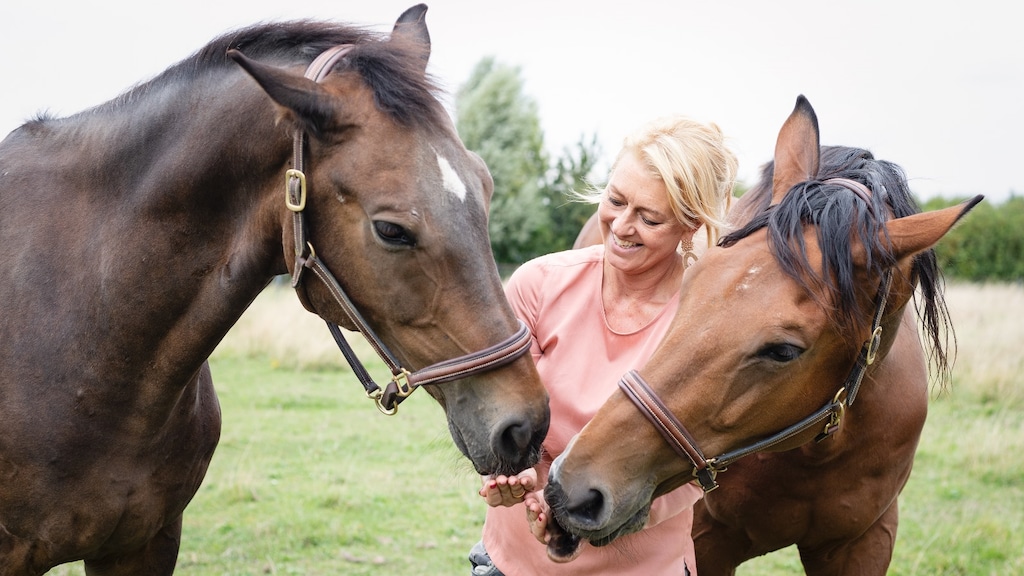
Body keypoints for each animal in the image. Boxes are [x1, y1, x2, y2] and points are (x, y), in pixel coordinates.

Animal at [544, 95, 982, 574]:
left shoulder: (865, 543)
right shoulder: (707, 544)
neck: (821, 452)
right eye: (689, 284)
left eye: (784, 350)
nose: (573, 488)